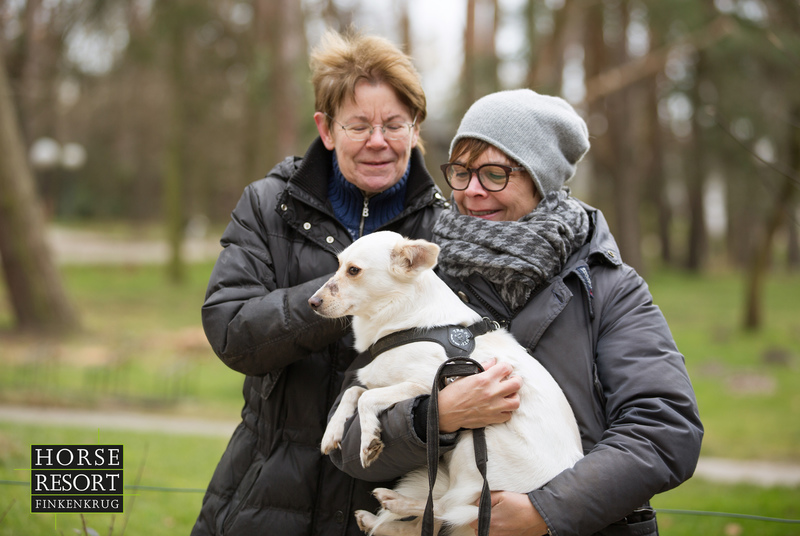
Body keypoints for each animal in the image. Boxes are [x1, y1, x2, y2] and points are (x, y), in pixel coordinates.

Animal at [309, 231, 583, 536]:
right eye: (338, 265)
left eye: (354, 270)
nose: (312, 302)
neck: (404, 320)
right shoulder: (381, 380)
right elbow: (354, 392)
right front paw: (332, 433)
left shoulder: (425, 384)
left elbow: (366, 398)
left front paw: (368, 440)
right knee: (424, 522)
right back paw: (375, 519)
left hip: (474, 445)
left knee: (444, 506)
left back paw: (397, 501)